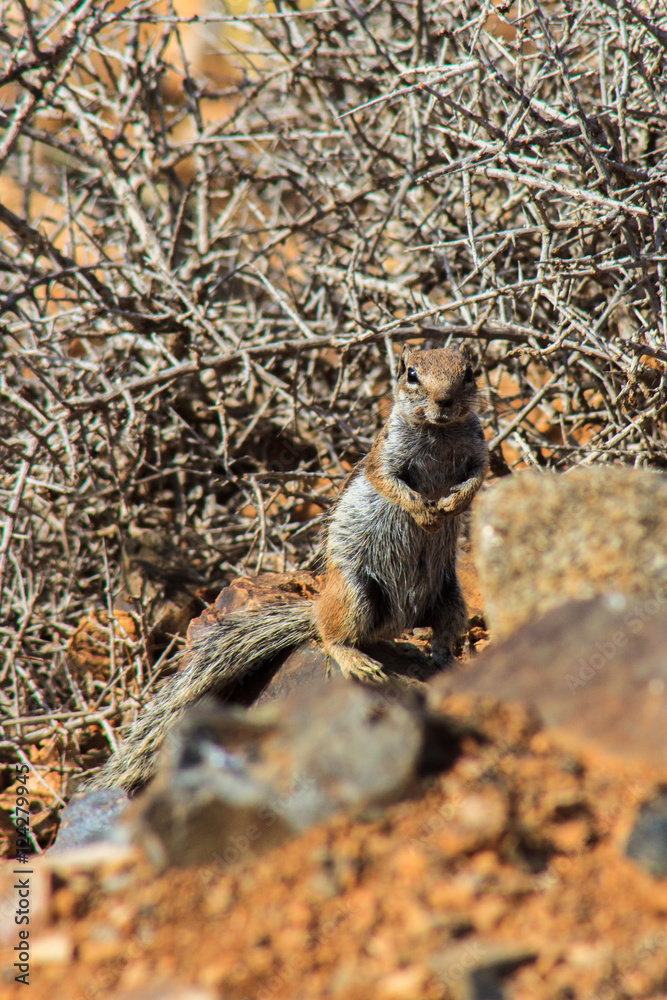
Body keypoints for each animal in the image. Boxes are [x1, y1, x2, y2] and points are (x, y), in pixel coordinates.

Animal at [89, 345, 489, 792]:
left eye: (469, 373)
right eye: (412, 374)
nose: (444, 401)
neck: (439, 432)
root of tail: (317, 605)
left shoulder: (478, 447)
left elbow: (478, 475)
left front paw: (453, 502)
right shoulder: (386, 456)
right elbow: (389, 481)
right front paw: (425, 512)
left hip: (450, 597)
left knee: (437, 634)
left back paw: (444, 660)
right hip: (357, 594)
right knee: (332, 636)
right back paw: (358, 660)